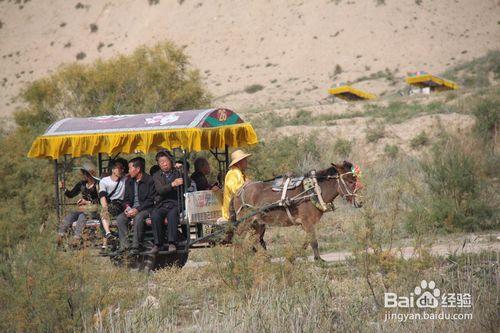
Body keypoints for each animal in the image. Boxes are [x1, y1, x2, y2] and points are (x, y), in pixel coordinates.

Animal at [230, 160, 364, 260]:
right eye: (350, 181)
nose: (361, 202)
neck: (313, 191)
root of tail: (239, 190)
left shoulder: (307, 224)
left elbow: (307, 241)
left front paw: (295, 257)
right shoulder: (307, 222)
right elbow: (313, 241)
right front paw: (319, 260)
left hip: (258, 224)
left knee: (252, 242)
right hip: (245, 222)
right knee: (238, 240)